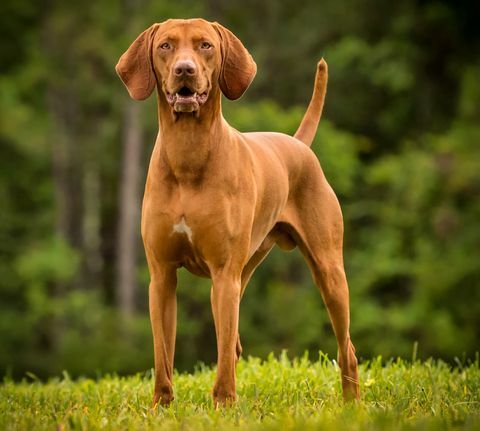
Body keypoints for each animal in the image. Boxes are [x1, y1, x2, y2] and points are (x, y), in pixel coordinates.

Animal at [116, 17, 358, 408]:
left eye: (205, 46)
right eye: (165, 46)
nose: (185, 70)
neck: (188, 155)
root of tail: (297, 144)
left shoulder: (223, 273)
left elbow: (223, 353)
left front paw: (224, 406)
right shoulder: (162, 276)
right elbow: (163, 354)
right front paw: (161, 406)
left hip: (327, 271)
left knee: (345, 347)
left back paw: (352, 404)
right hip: (244, 269)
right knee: (232, 341)